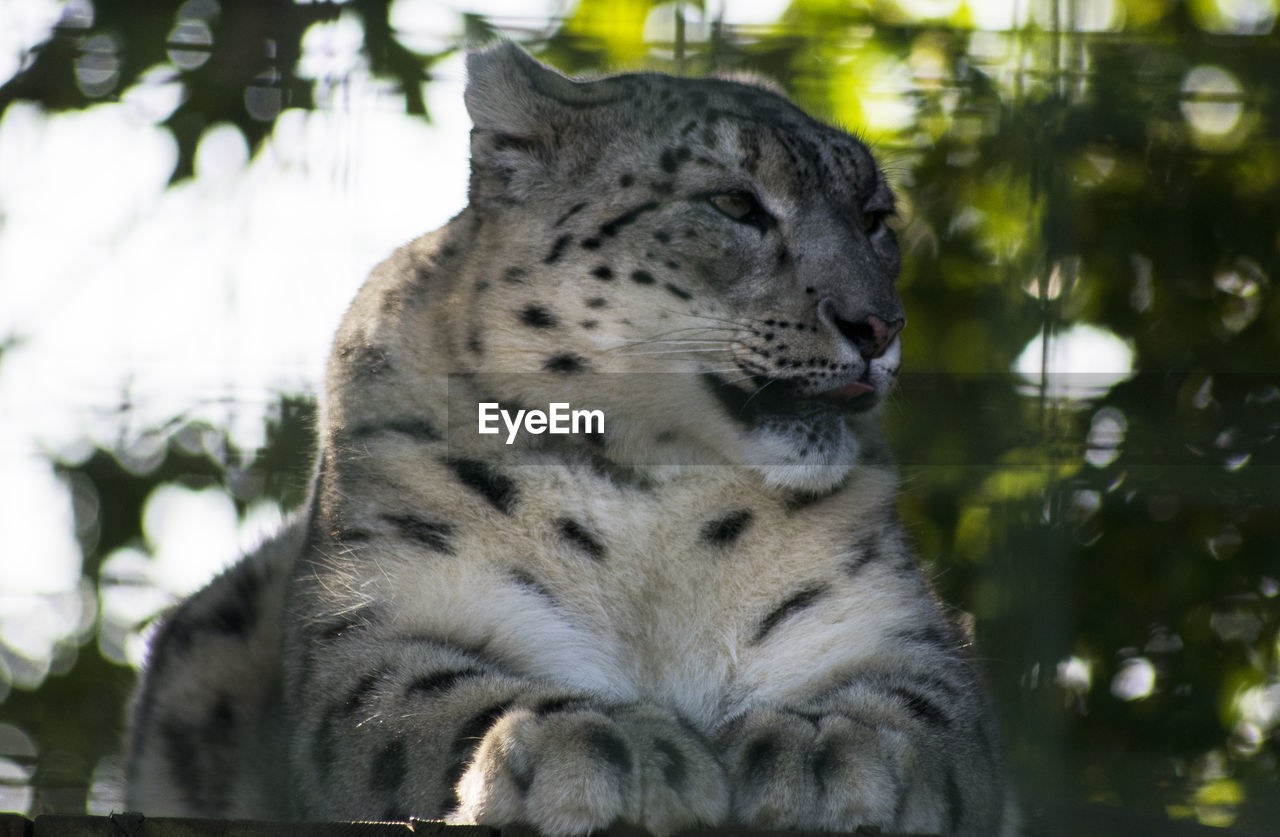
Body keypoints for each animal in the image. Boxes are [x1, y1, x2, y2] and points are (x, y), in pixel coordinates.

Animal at [124, 40, 1013, 837]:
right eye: (733, 203)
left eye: (875, 218)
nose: (879, 323)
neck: (656, 501)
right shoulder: (378, 615)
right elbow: (409, 703)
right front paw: (602, 741)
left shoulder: (886, 623)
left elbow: (934, 708)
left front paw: (830, 747)